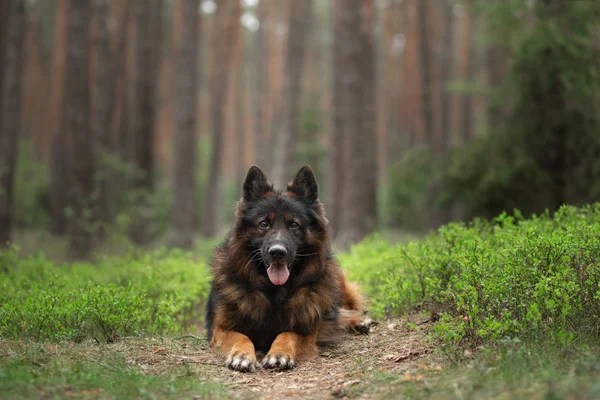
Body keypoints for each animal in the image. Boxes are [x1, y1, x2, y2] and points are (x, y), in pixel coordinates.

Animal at [206, 163, 370, 372]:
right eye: (264, 224)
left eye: (293, 225)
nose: (277, 252)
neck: (274, 292)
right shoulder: (221, 329)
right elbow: (241, 337)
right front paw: (242, 355)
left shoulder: (307, 331)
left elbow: (287, 334)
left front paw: (279, 354)